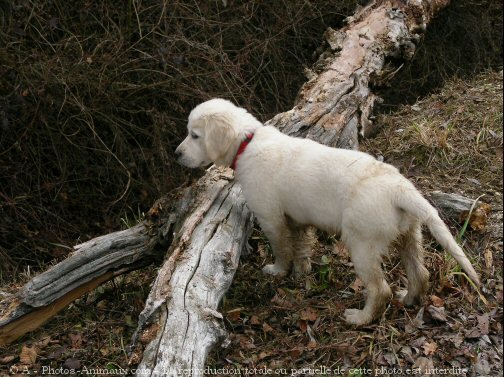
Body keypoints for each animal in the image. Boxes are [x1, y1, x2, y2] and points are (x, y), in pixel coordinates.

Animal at [176, 98, 480, 324]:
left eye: (194, 135)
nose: (177, 154)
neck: (247, 142)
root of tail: (400, 188)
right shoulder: (297, 219)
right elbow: (300, 247)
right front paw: (301, 272)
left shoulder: (271, 218)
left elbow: (282, 248)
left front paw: (278, 271)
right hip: (409, 234)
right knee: (420, 272)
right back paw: (408, 299)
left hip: (362, 244)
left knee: (380, 288)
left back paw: (360, 318)